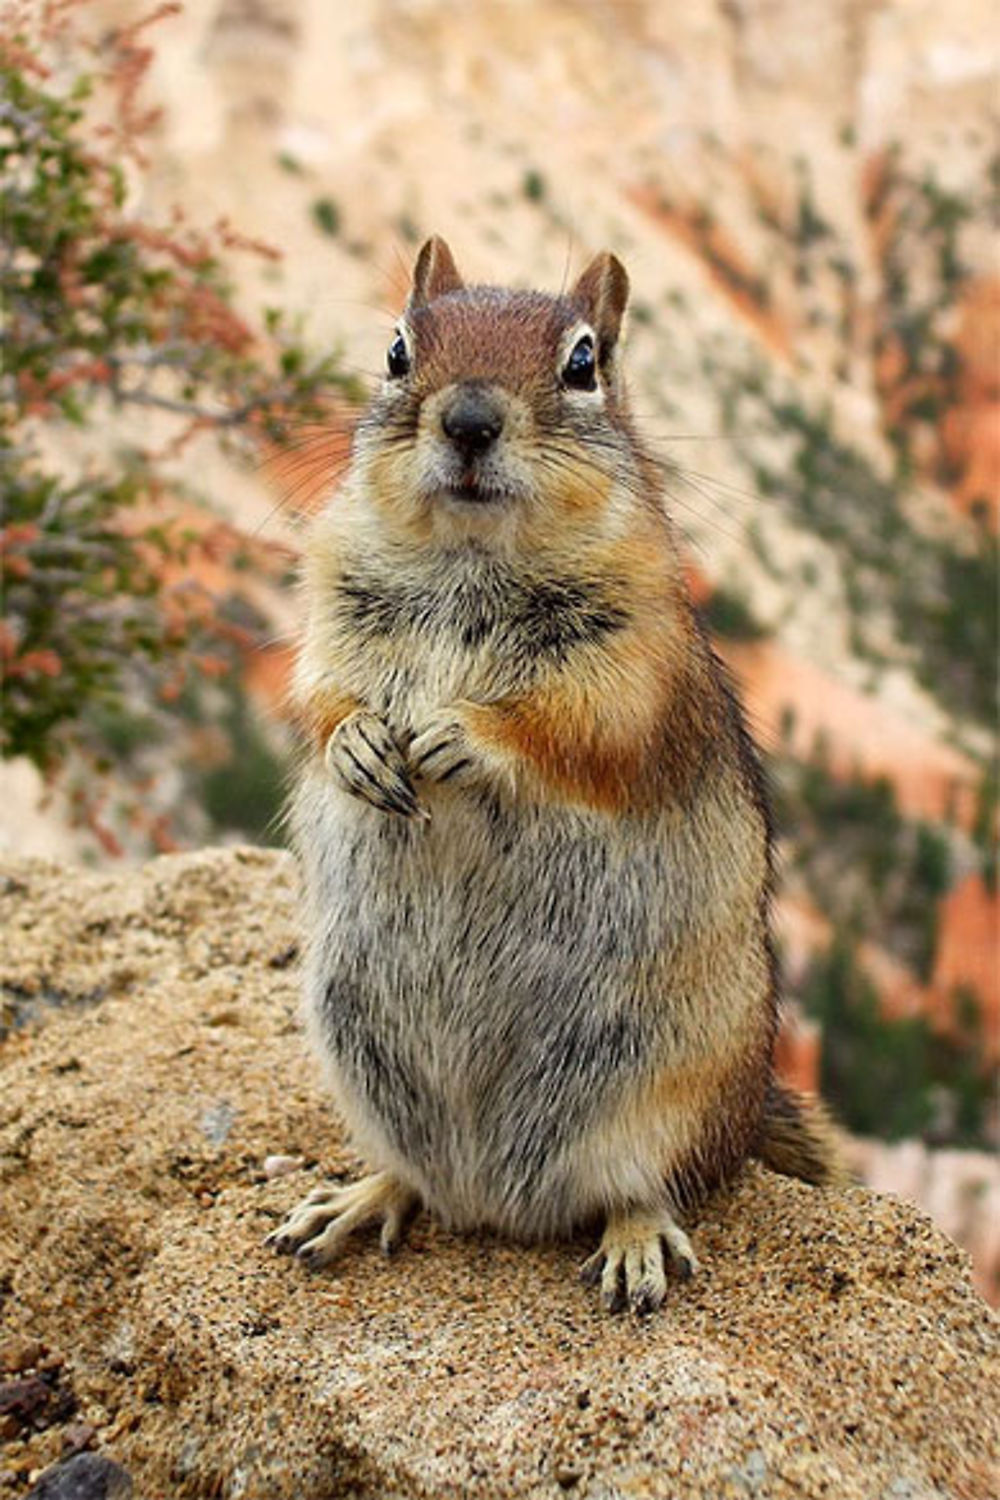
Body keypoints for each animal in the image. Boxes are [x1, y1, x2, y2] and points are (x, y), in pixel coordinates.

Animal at [268, 234, 845, 1314]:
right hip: (355, 1054)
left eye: (583, 363)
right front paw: (361, 746)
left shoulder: (635, 664)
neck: (466, 563)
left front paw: (461, 737)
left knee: (645, 1184)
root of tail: (494, 1204)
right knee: (414, 1177)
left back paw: (634, 1246)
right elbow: (321, 698)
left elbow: (577, 734)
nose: (469, 420)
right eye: (397, 349)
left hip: (663, 1093)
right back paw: (356, 1200)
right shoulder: (326, 613)